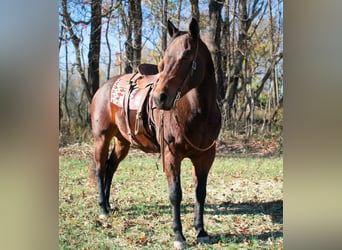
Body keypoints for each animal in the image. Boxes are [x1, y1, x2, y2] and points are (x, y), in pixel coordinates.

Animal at [89, 18, 220, 249]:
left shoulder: (205, 157)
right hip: (101, 139)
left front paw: (201, 231)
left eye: (186, 56)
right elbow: (175, 194)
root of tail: (103, 87)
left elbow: (200, 193)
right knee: (100, 169)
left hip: (123, 142)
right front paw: (179, 236)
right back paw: (103, 208)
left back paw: (109, 204)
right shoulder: (171, 155)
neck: (199, 112)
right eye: (164, 60)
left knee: (110, 167)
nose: (160, 98)